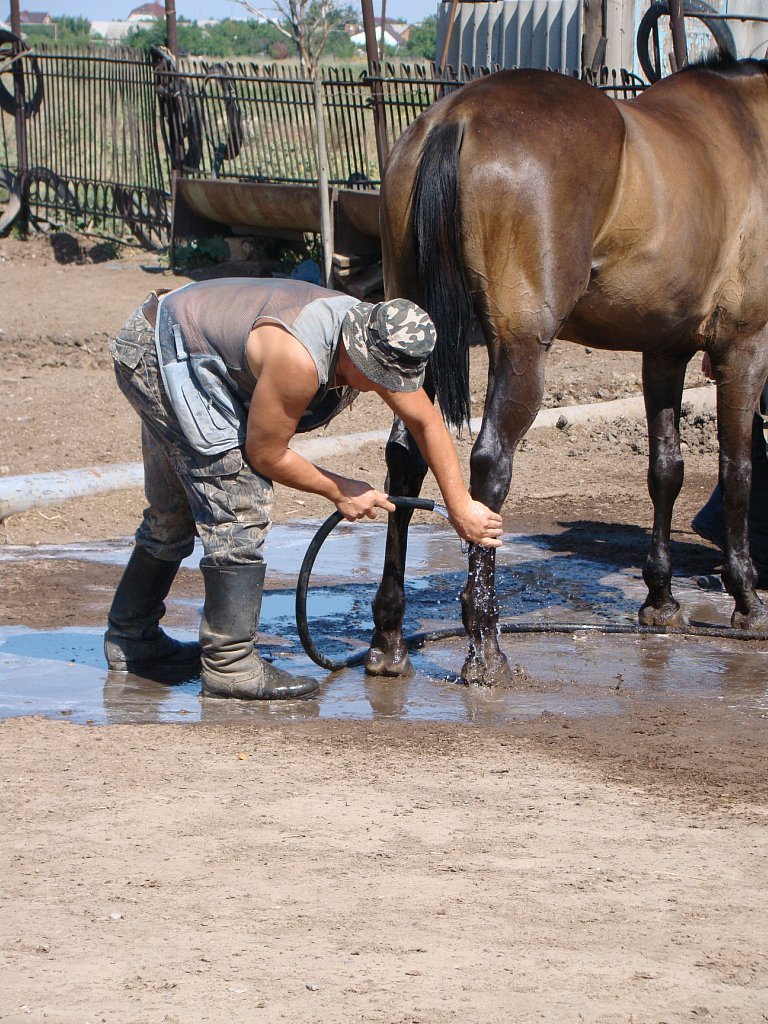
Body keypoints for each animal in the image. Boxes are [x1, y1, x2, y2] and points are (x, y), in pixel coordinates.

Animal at [364, 51, 768, 684]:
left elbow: (666, 470)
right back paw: (486, 643)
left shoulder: (664, 350)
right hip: (523, 349)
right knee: (490, 463)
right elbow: (738, 471)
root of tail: (458, 116)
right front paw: (746, 599)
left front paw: (661, 599)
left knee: (405, 456)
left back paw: (389, 637)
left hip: (412, 332)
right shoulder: (746, 347)